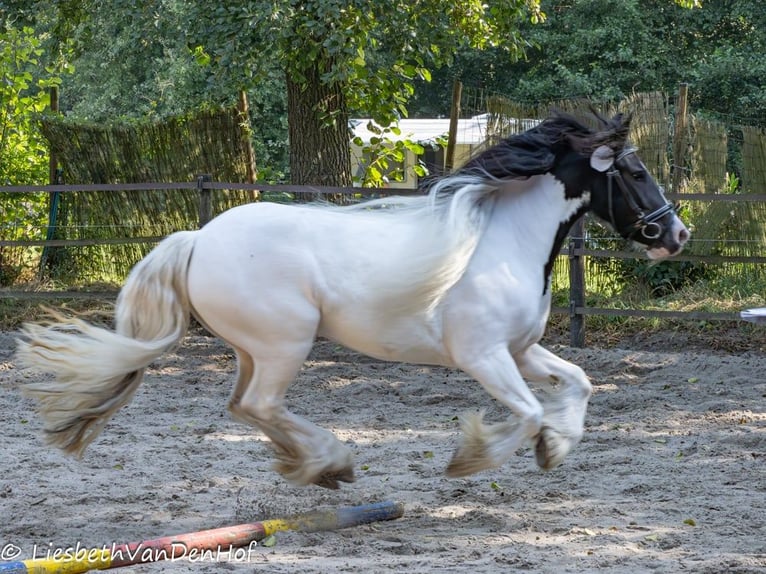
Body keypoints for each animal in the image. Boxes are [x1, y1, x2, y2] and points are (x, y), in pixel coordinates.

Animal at [15, 111, 692, 490]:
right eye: (634, 172)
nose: (678, 235)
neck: (500, 239)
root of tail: (199, 237)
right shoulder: (483, 356)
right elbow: (525, 412)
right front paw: (473, 460)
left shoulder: (521, 350)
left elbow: (580, 381)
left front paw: (556, 446)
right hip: (286, 342)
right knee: (259, 405)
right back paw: (331, 461)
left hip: (253, 348)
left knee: (243, 406)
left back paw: (320, 466)